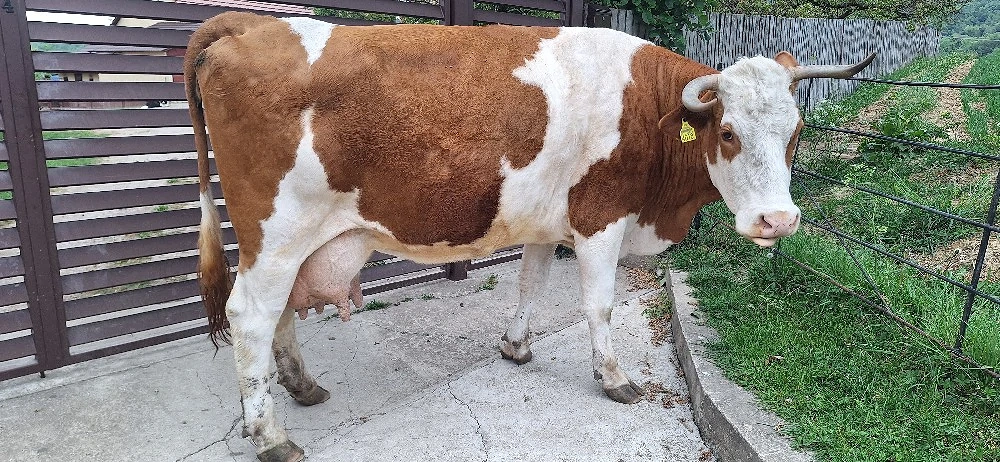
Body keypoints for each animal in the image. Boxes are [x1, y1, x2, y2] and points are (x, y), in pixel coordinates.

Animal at [185, 12, 874, 461]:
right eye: (728, 132)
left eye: (796, 130)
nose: (777, 221)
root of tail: (247, 23)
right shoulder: (601, 217)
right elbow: (598, 304)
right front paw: (613, 378)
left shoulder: (548, 221)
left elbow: (530, 283)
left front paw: (515, 347)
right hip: (276, 230)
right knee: (251, 315)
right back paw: (271, 436)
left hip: (289, 241)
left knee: (279, 314)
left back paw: (302, 388)